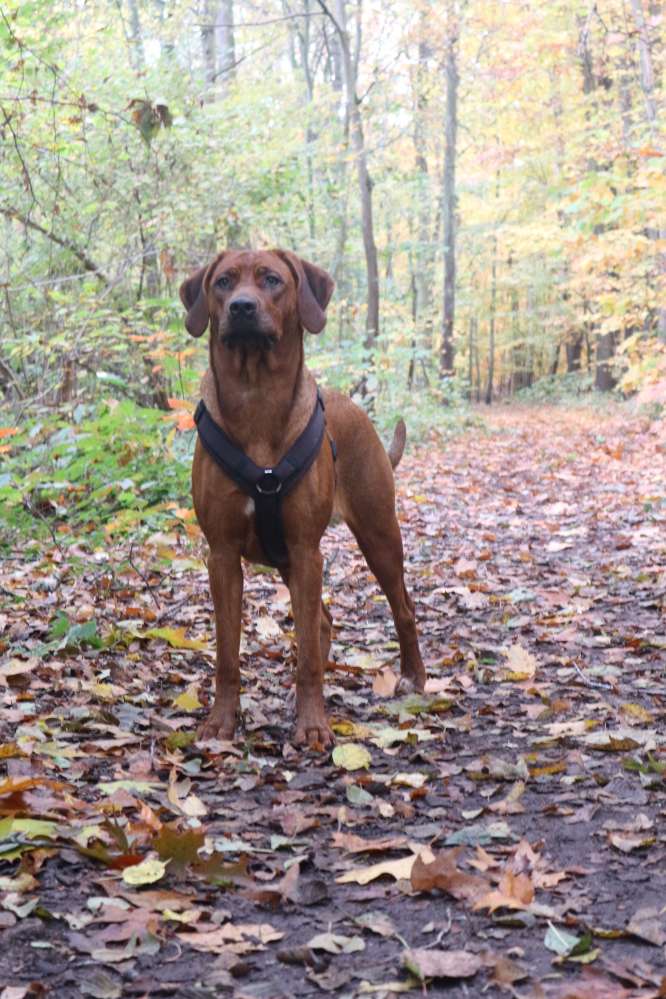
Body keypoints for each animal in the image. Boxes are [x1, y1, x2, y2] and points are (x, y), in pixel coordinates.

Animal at [179, 250, 422, 752]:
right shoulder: (223, 555)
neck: (256, 397)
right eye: (223, 282)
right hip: (287, 559)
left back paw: (414, 677)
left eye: (272, 280)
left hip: (377, 533)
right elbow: (227, 653)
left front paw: (312, 725)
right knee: (324, 622)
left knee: (402, 608)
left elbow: (307, 652)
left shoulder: (308, 551)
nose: (242, 308)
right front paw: (221, 722)